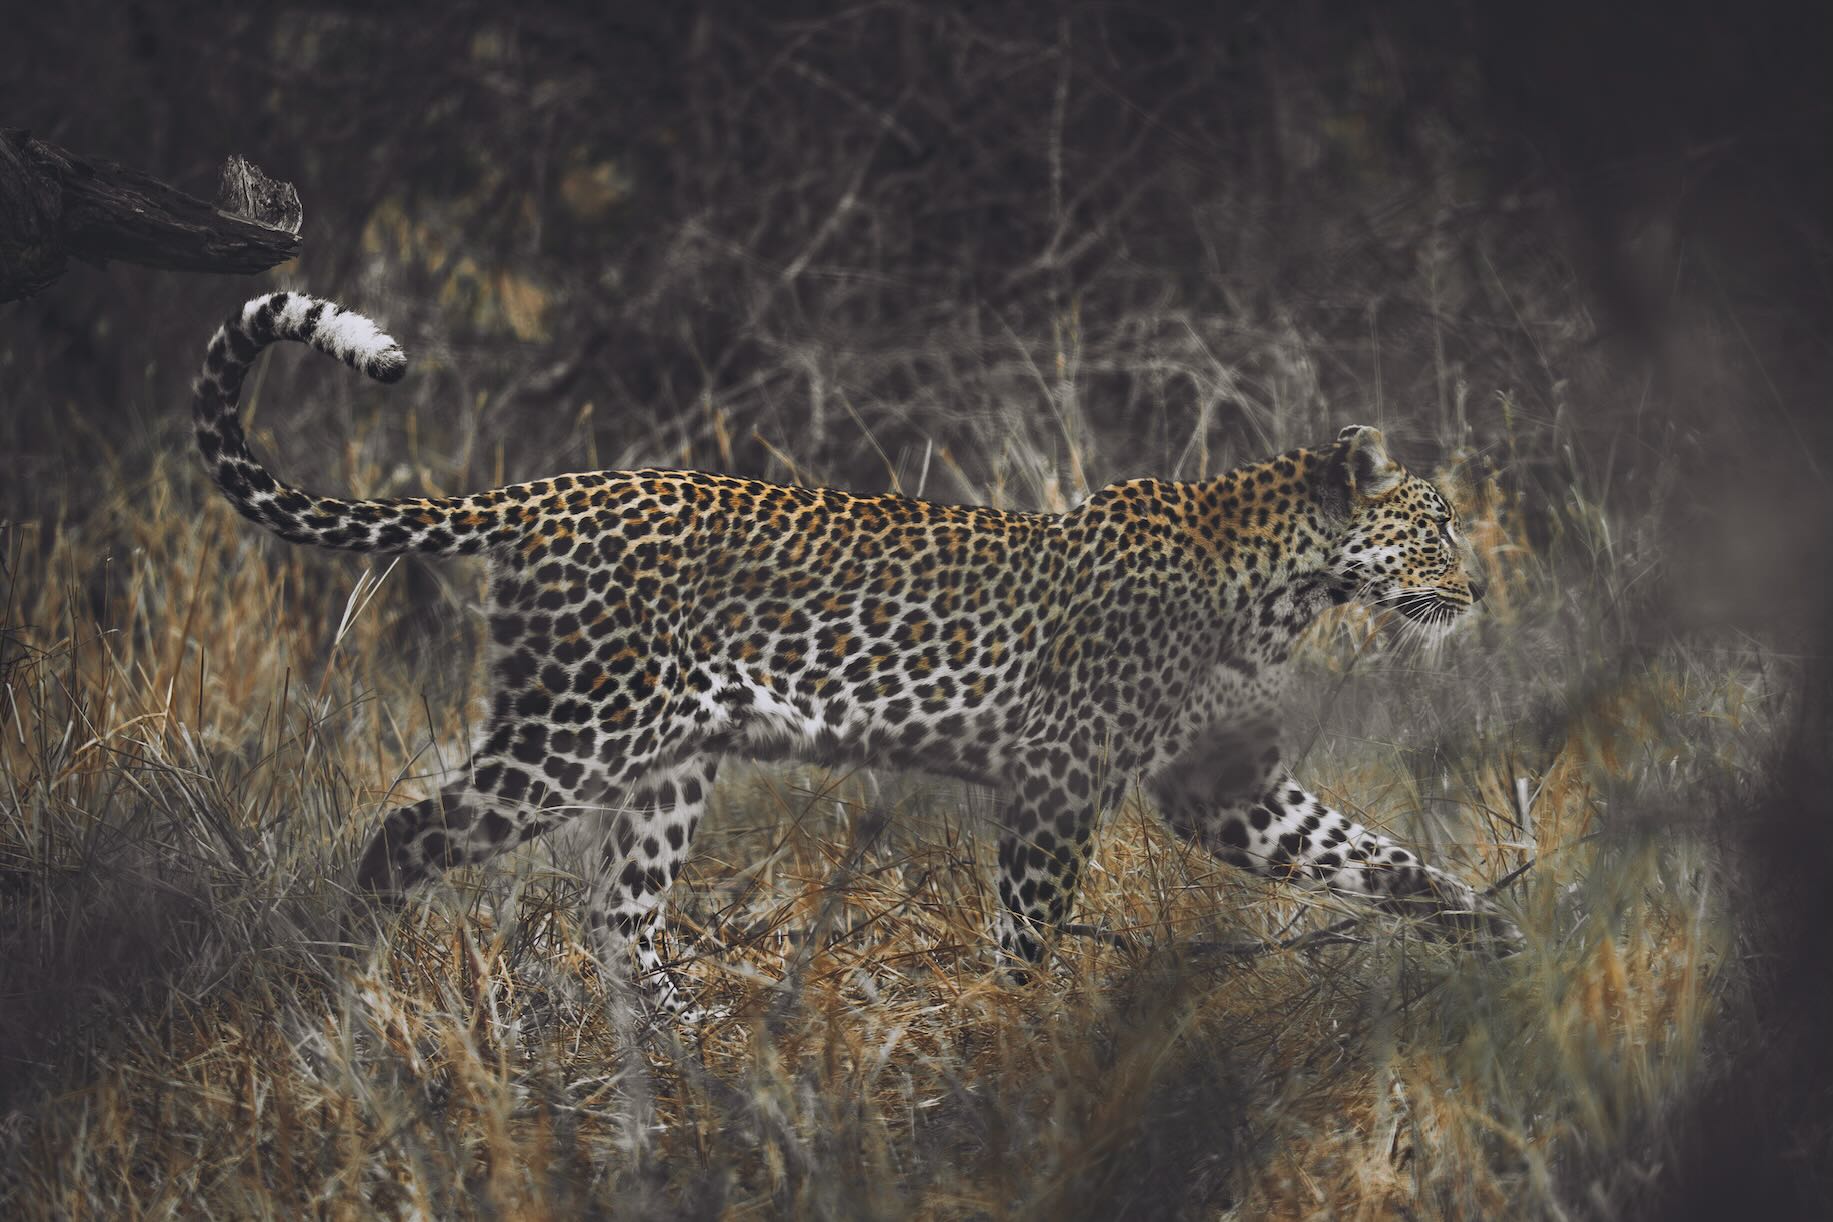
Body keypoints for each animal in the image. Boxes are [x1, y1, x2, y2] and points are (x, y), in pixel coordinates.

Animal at [192, 291, 1518, 1016]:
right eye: (1436, 524)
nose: (1478, 585)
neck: (1284, 587)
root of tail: (544, 491)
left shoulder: (1227, 790)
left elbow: (1371, 857)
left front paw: (1493, 934)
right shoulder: (1058, 776)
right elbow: (1028, 927)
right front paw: (1015, 1043)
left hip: (670, 758)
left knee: (619, 917)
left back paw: (700, 1056)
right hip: (575, 732)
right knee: (406, 835)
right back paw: (350, 985)